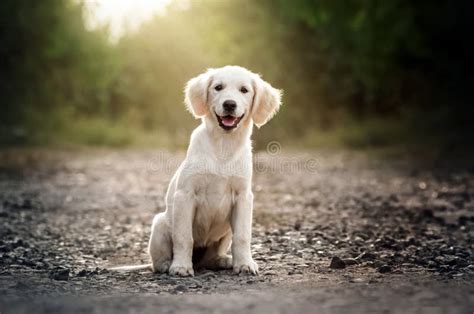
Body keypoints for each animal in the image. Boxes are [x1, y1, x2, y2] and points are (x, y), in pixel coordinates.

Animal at [113, 66, 280, 278]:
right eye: (218, 87)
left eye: (244, 90)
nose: (229, 104)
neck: (223, 146)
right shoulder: (185, 195)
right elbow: (184, 237)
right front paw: (181, 267)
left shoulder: (243, 196)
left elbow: (242, 236)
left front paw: (244, 264)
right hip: (160, 223)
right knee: (156, 262)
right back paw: (167, 264)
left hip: (225, 232)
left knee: (211, 258)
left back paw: (224, 260)